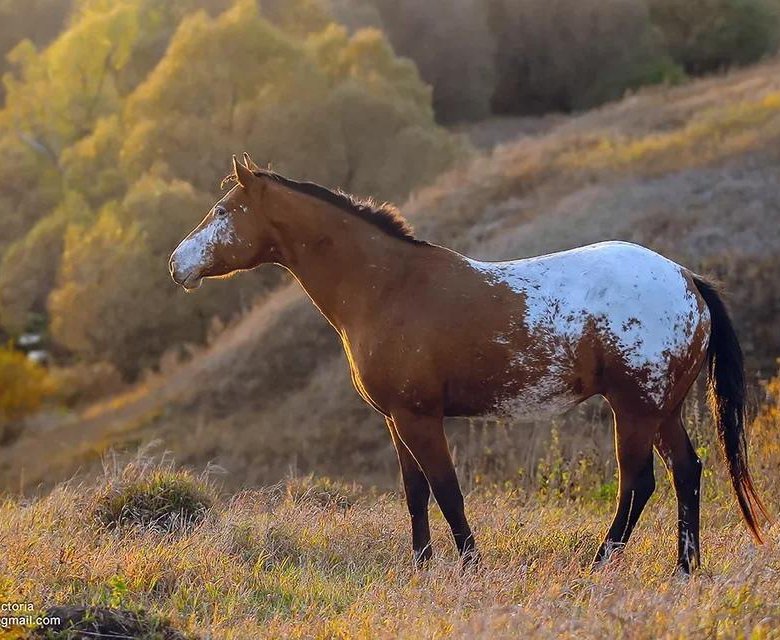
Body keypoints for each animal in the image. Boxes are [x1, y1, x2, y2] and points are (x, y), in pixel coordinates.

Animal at [168, 155, 764, 576]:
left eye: (223, 211)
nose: (176, 264)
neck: (389, 287)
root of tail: (689, 281)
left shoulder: (420, 418)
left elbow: (447, 492)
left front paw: (469, 568)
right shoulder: (396, 420)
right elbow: (415, 495)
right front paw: (421, 569)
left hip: (635, 410)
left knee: (637, 484)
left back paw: (599, 565)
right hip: (662, 410)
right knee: (687, 472)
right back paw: (685, 569)